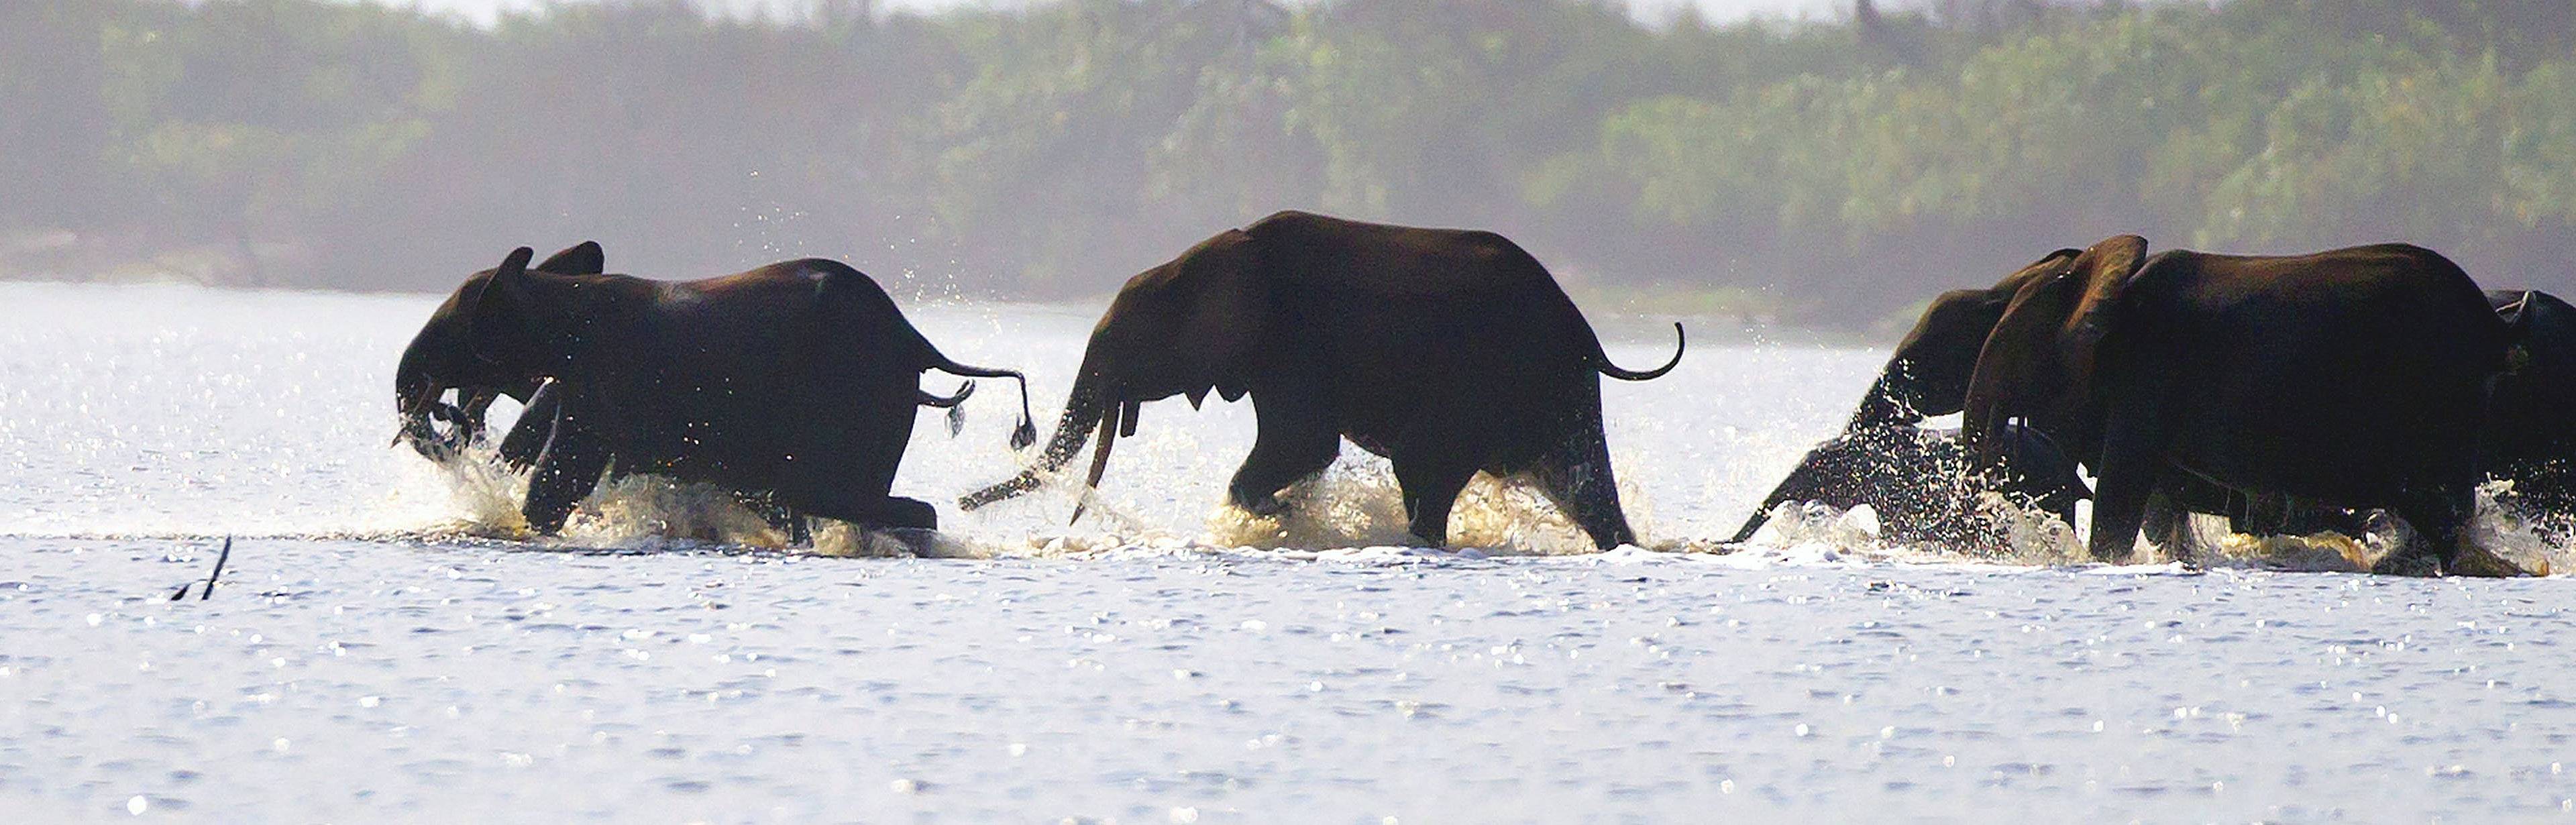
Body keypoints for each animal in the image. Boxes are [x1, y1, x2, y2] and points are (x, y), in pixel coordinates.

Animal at [394, 239, 1035, 536]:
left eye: (455, 329)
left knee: (825, 495)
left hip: (857, 394)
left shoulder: (601, 382)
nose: (450, 416)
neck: (552, 289)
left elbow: (558, 482)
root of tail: (916, 338)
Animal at [958, 209, 1679, 551]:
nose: (963, 503)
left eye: (1131, 341)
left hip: (1497, 378)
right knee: (1579, 484)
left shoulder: (1292, 348)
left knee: (1424, 465)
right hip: (1556, 387)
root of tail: (1586, 332)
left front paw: (1283, 515)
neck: (1225, 250)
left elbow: (1300, 445)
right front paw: (1287, 512)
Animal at [1957, 234, 2504, 578]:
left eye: (2008, 341)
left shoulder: (2149, 371)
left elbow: (2125, 482)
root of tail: (2490, 322)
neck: (2103, 272)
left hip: (2433, 395)